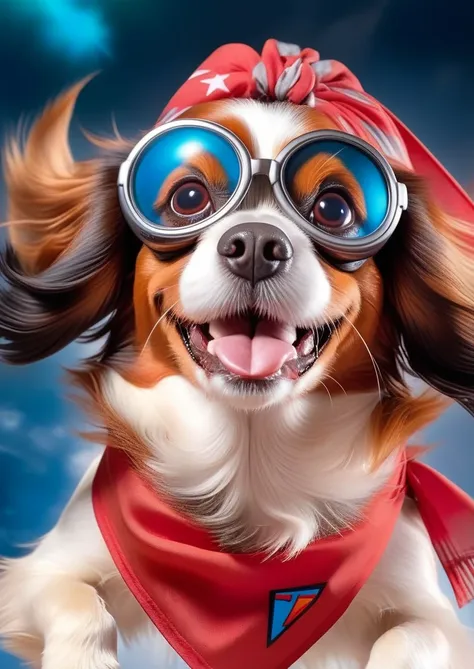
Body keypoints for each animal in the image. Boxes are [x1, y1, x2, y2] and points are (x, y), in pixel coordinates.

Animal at [2, 40, 474, 668]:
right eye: (188, 198)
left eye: (334, 209)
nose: (254, 245)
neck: (251, 458)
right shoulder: (42, 570)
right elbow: (79, 604)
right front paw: (84, 660)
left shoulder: (430, 611)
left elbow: (408, 637)